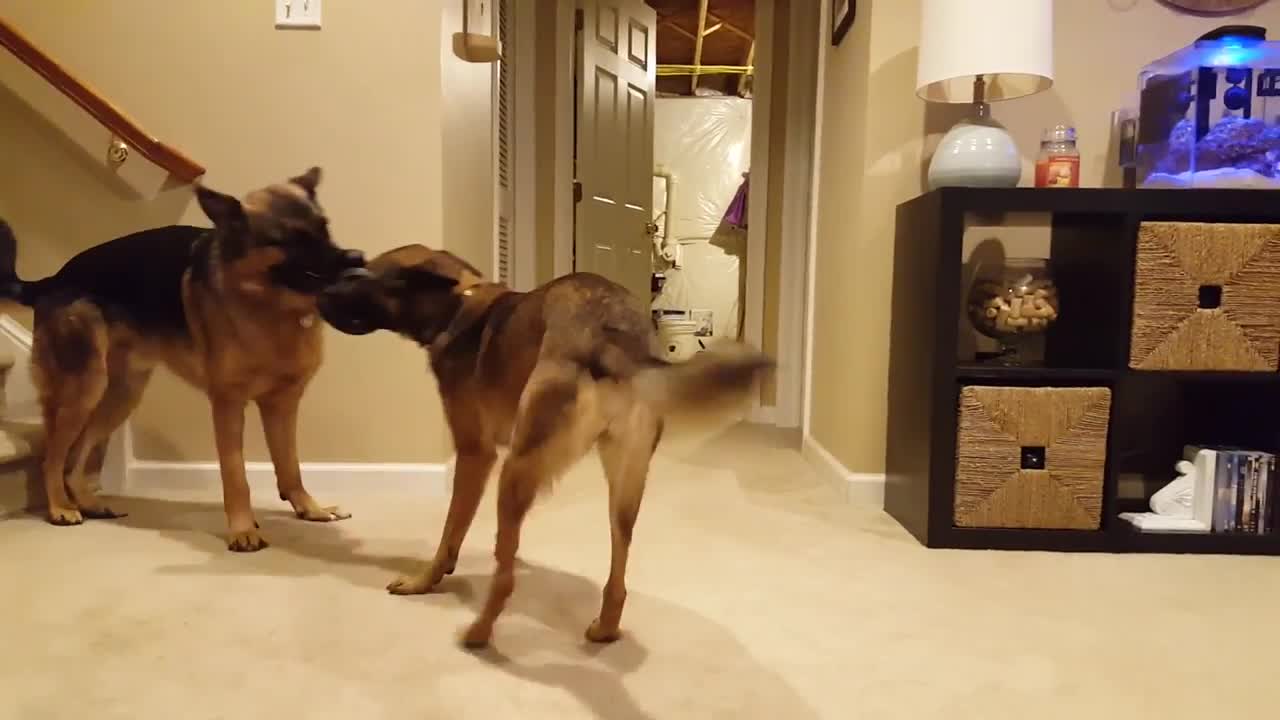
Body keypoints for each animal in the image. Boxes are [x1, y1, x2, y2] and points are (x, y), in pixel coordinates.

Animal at [0, 167, 366, 548]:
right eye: (289, 239)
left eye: (324, 227)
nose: (357, 259)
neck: (269, 304)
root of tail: (54, 279)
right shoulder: (228, 406)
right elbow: (236, 475)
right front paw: (243, 529)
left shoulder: (282, 405)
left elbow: (290, 465)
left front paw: (311, 509)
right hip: (84, 390)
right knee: (52, 457)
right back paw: (60, 507)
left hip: (121, 396)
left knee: (76, 457)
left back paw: (89, 503)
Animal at [317, 244, 768, 645]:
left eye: (360, 276)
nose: (316, 295)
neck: (457, 305)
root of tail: (612, 334)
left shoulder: (475, 453)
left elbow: (450, 531)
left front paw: (424, 580)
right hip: (625, 482)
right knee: (617, 568)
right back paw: (605, 628)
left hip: (516, 468)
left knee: (505, 579)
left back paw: (479, 634)